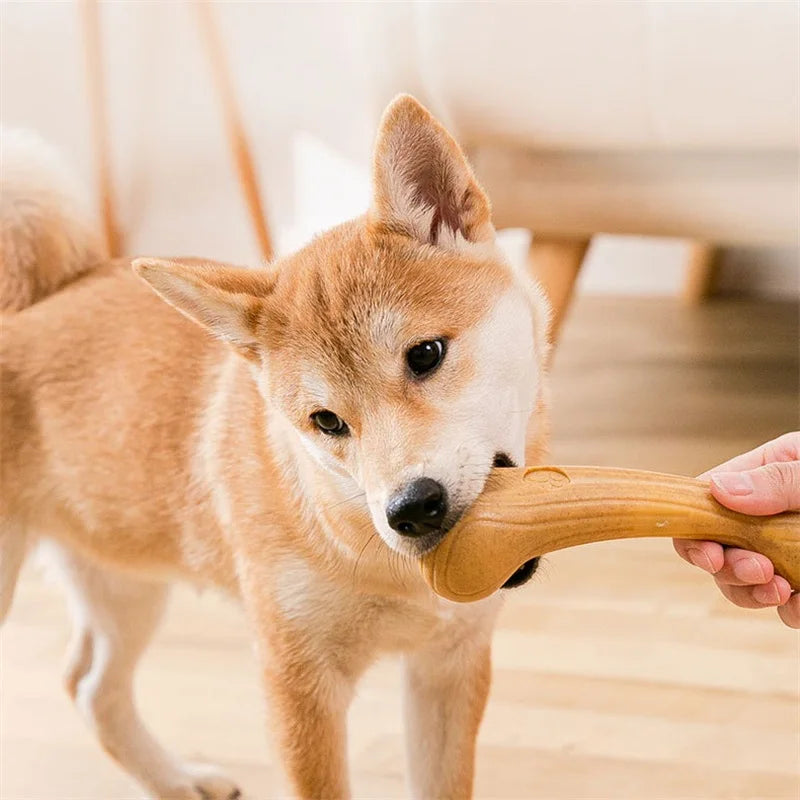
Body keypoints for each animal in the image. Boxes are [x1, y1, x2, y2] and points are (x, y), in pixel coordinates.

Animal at [0, 97, 552, 796]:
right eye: (326, 421)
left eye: (426, 354)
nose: (411, 509)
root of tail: (19, 313)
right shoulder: (299, 686)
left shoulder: (448, 667)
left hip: (124, 579)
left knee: (91, 688)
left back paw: (177, 781)